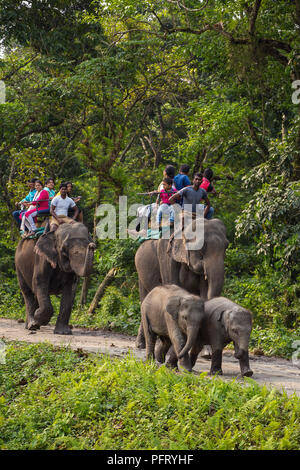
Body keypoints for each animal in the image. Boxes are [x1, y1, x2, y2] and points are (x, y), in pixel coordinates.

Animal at [135, 218, 229, 346]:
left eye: (226, 246)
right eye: (202, 247)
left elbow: (204, 292)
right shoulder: (166, 255)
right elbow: (173, 284)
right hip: (140, 271)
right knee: (143, 298)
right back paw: (140, 344)